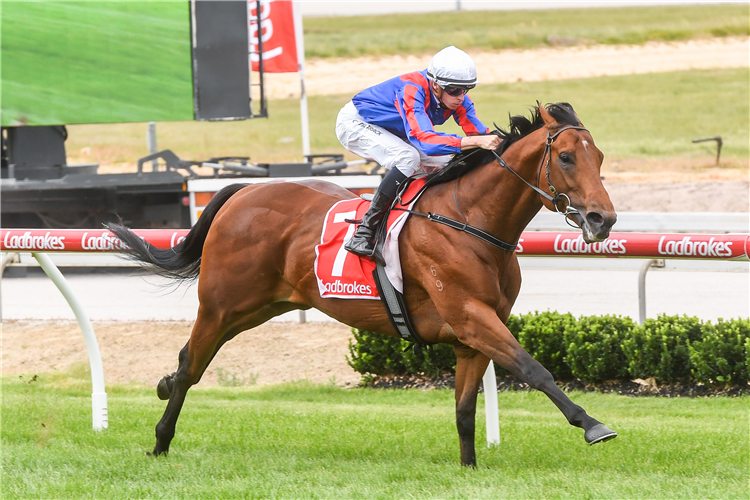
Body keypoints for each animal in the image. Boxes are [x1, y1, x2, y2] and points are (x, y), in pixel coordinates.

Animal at [108, 102, 620, 468]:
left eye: (598, 157)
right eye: (566, 157)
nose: (604, 219)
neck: (470, 220)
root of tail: (244, 191)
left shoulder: (473, 334)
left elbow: (465, 408)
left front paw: (469, 467)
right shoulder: (470, 317)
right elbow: (535, 369)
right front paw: (593, 424)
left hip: (261, 305)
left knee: (186, 360)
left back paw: (162, 390)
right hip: (221, 305)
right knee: (191, 365)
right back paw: (160, 441)